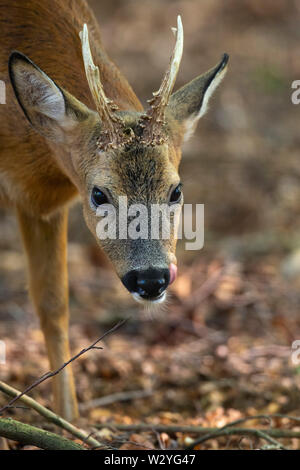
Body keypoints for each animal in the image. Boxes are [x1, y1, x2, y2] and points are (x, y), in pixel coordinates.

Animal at [0, 0, 229, 418]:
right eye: (98, 194)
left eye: (176, 190)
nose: (151, 278)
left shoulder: (41, 206)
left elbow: (53, 305)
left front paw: (69, 421)